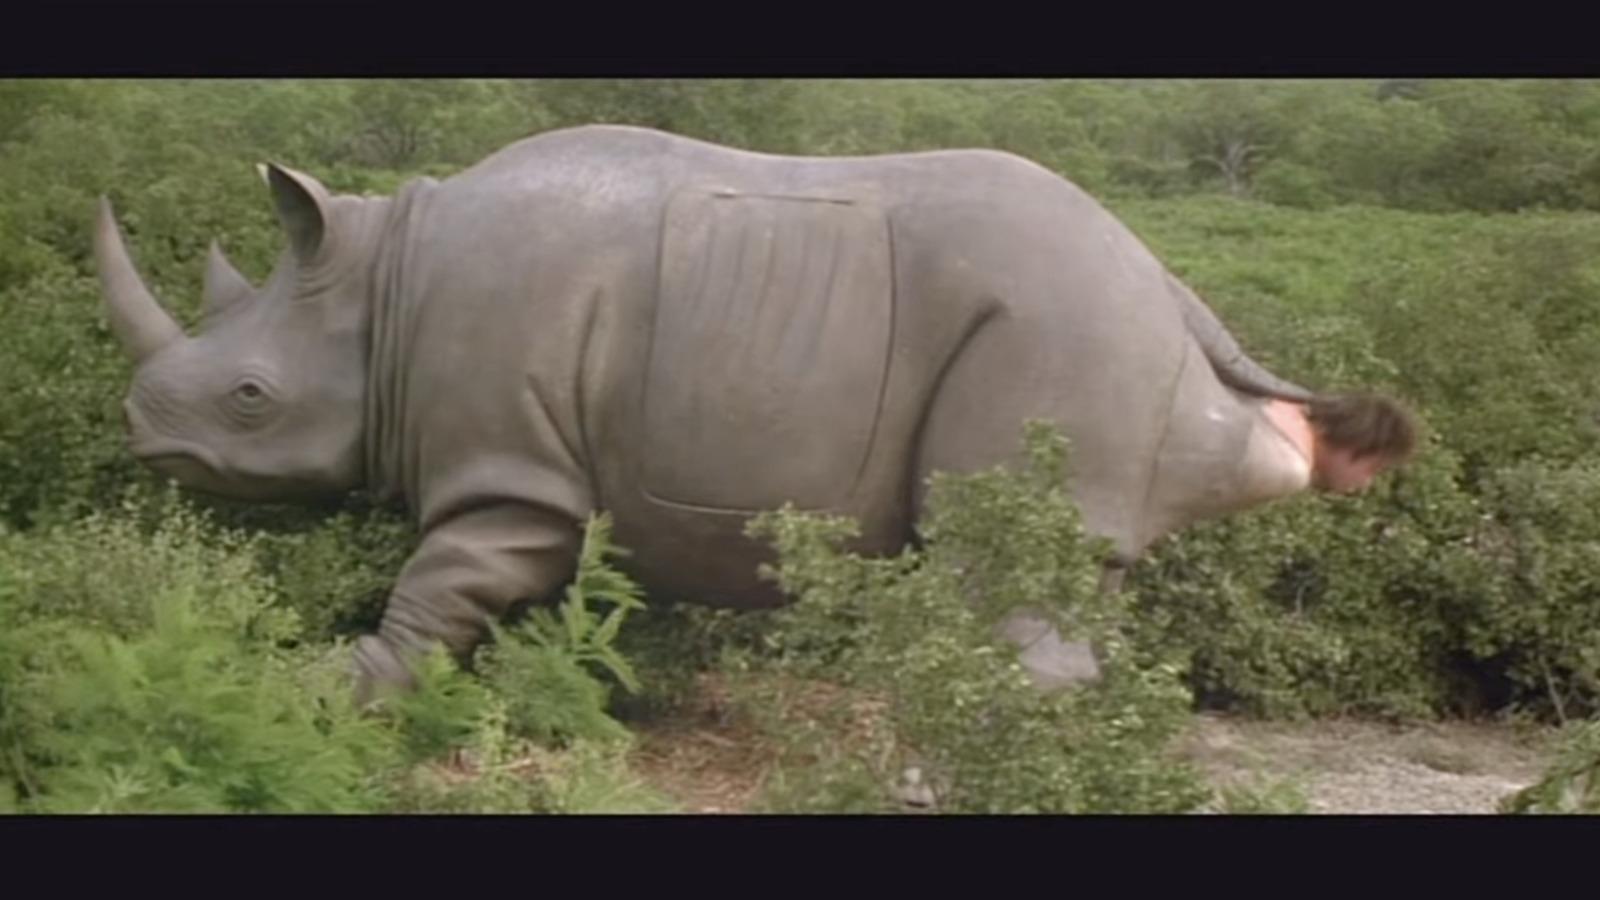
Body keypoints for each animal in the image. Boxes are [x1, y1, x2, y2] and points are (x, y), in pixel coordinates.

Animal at [92, 124, 1335, 700]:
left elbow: (440, 585)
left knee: (993, 562)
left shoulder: (509, 467)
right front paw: (572, 688)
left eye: (249, 400)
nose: (144, 437)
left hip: (1059, 322)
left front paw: (337, 693)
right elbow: (563, 595)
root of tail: (1169, 284)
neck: (385, 282)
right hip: (1096, 329)